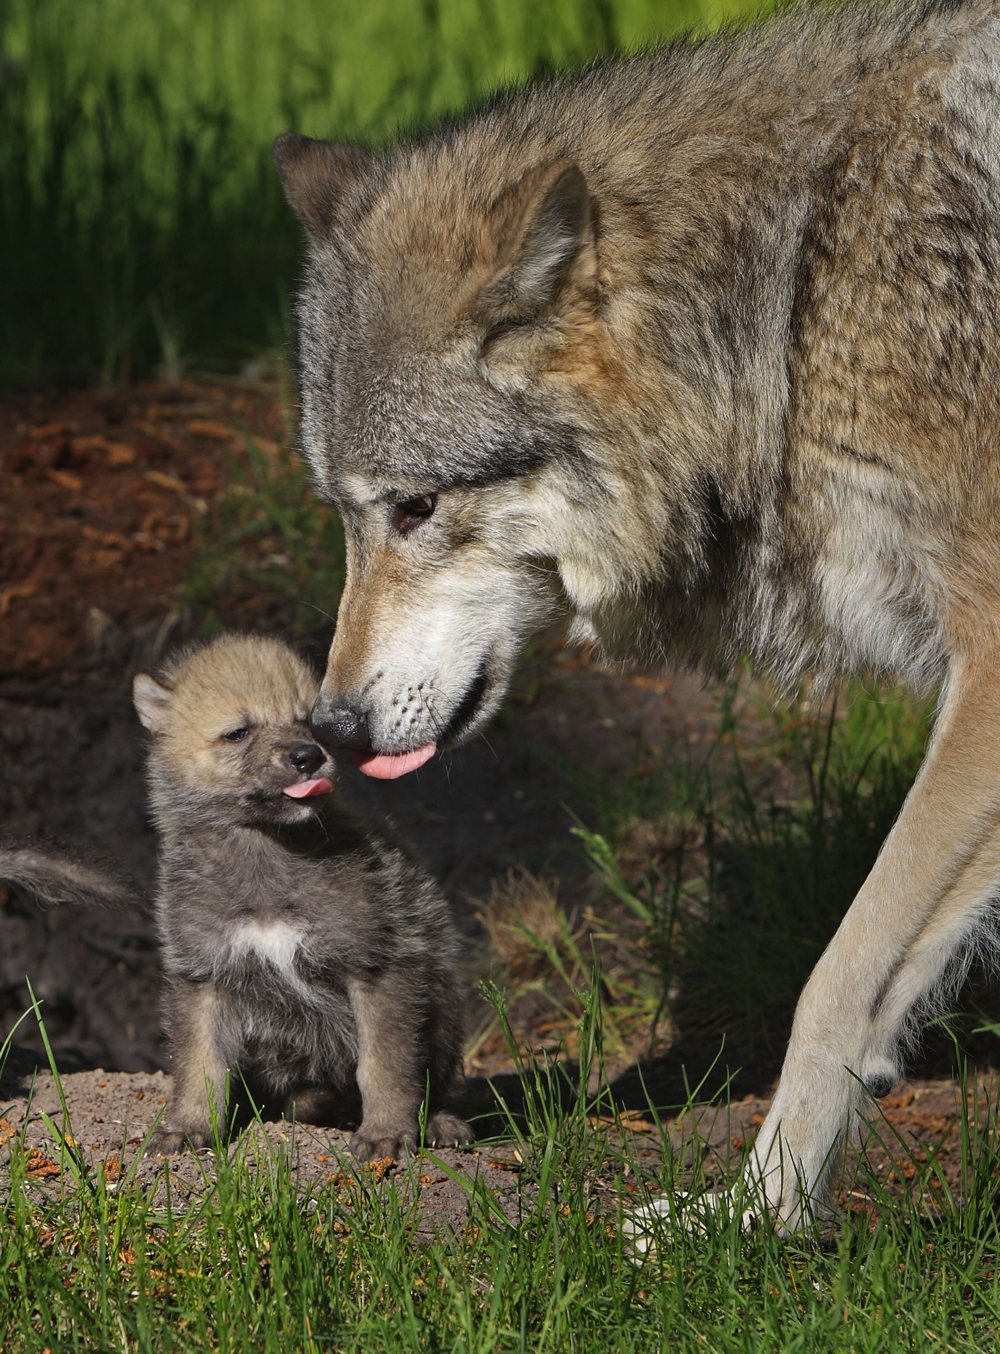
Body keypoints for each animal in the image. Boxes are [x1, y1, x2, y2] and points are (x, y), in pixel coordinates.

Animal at [276, 0, 1000, 1229]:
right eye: (342, 513)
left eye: (417, 507)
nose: (330, 728)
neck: (798, 293)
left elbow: (837, 977)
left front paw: (753, 1219)